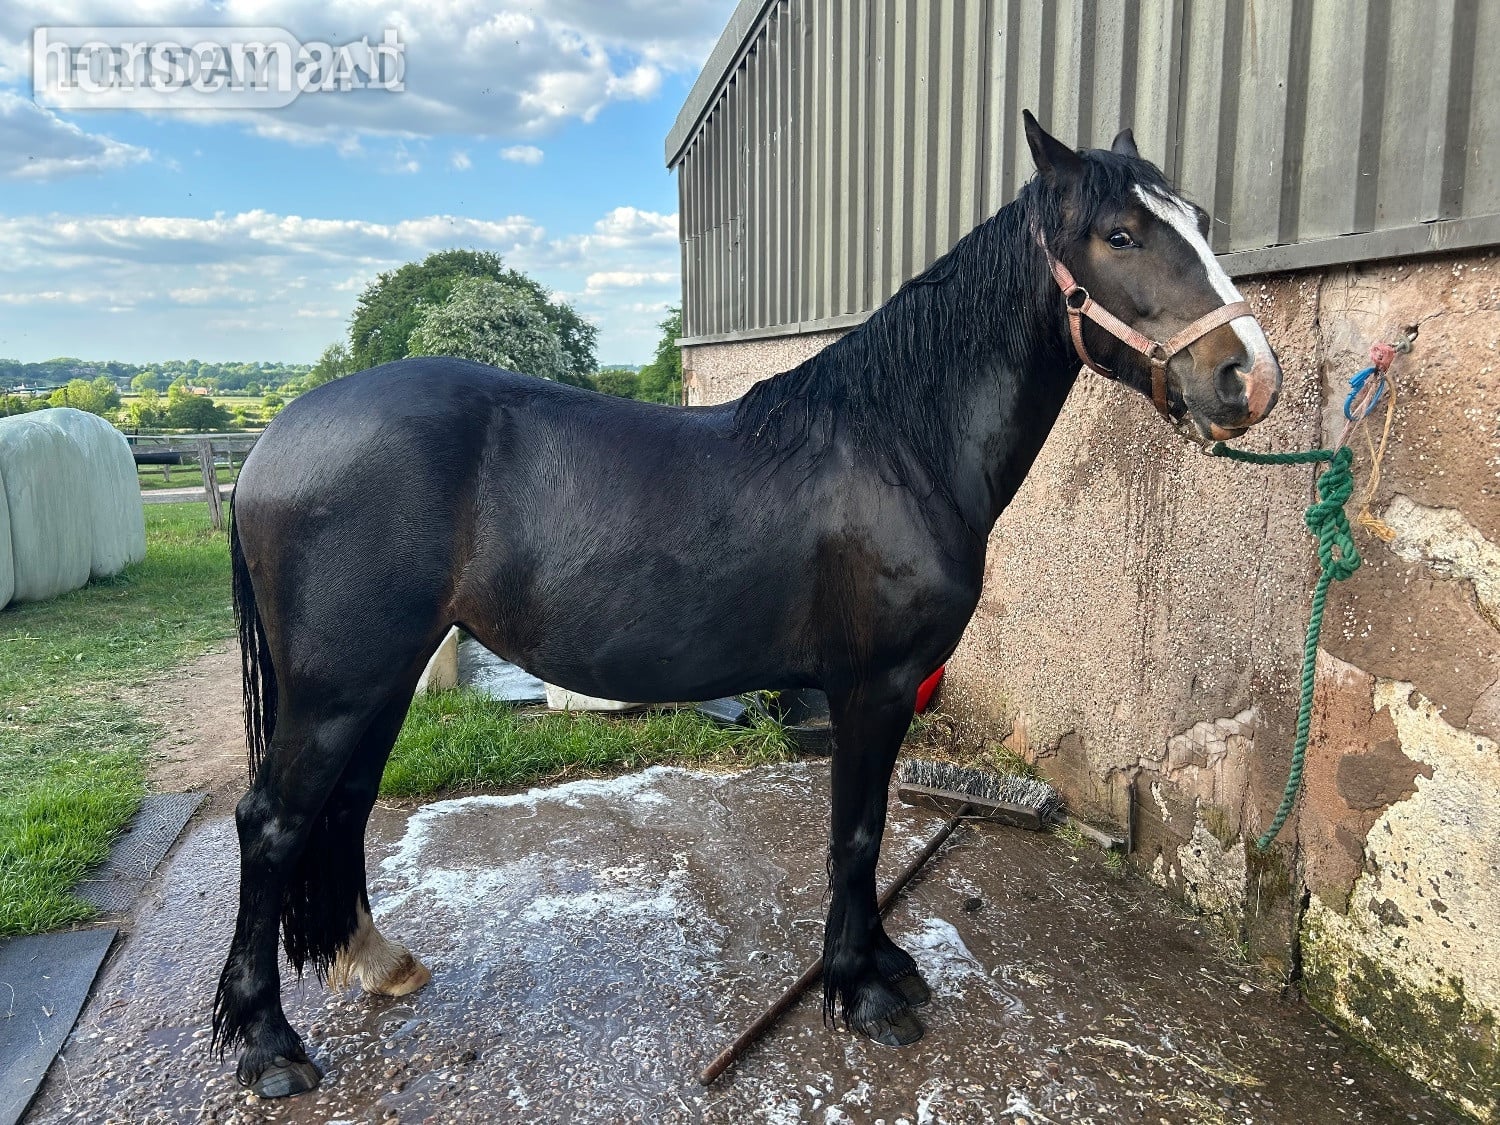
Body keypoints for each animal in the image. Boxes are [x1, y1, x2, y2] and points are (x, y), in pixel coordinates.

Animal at [212, 112, 1282, 1097]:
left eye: (1199, 218)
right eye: (1119, 234)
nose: (1248, 376)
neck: (896, 442)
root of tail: (275, 440)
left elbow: (868, 829)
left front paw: (882, 963)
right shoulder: (873, 685)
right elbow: (857, 833)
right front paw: (862, 991)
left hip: (379, 679)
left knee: (345, 806)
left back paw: (376, 959)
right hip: (342, 686)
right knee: (271, 823)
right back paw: (269, 1046)